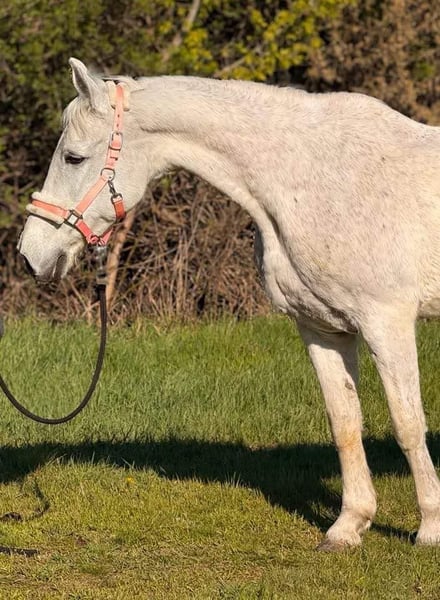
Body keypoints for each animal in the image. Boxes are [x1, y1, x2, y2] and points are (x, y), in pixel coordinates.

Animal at [18, 58, 440, 551]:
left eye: (74, 157)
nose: (30, 254)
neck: (317, 178)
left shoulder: (385, 322)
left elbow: (407, 424)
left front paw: (431, 528)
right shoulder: (322, 329)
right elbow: (345, 423)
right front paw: (348, 526)